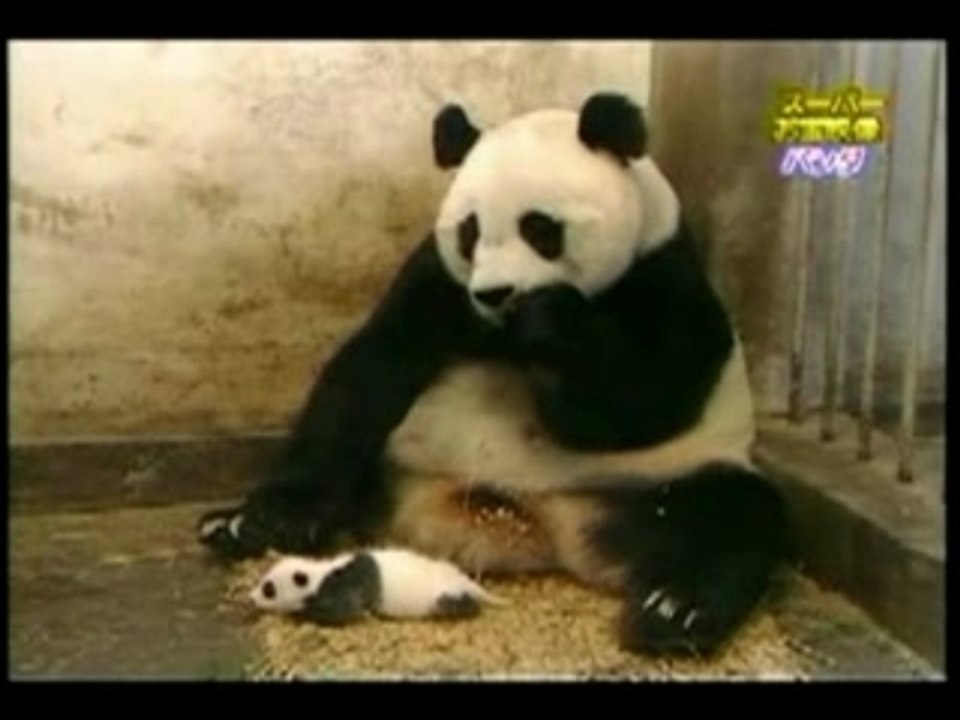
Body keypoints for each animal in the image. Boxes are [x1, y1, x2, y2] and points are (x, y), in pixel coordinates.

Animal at [199, 91, 787, 657]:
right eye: (470, 231)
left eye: (541, 228)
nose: (496, 293)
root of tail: (536, 527)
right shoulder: (439, 281)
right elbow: (372, 368)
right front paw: (277, 517)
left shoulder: (664, 276)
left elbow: (634, 404)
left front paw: (549, 321)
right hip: (399, 460)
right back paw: (234, 527)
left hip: (652, 485)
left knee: (734, 517)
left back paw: (673, 611)